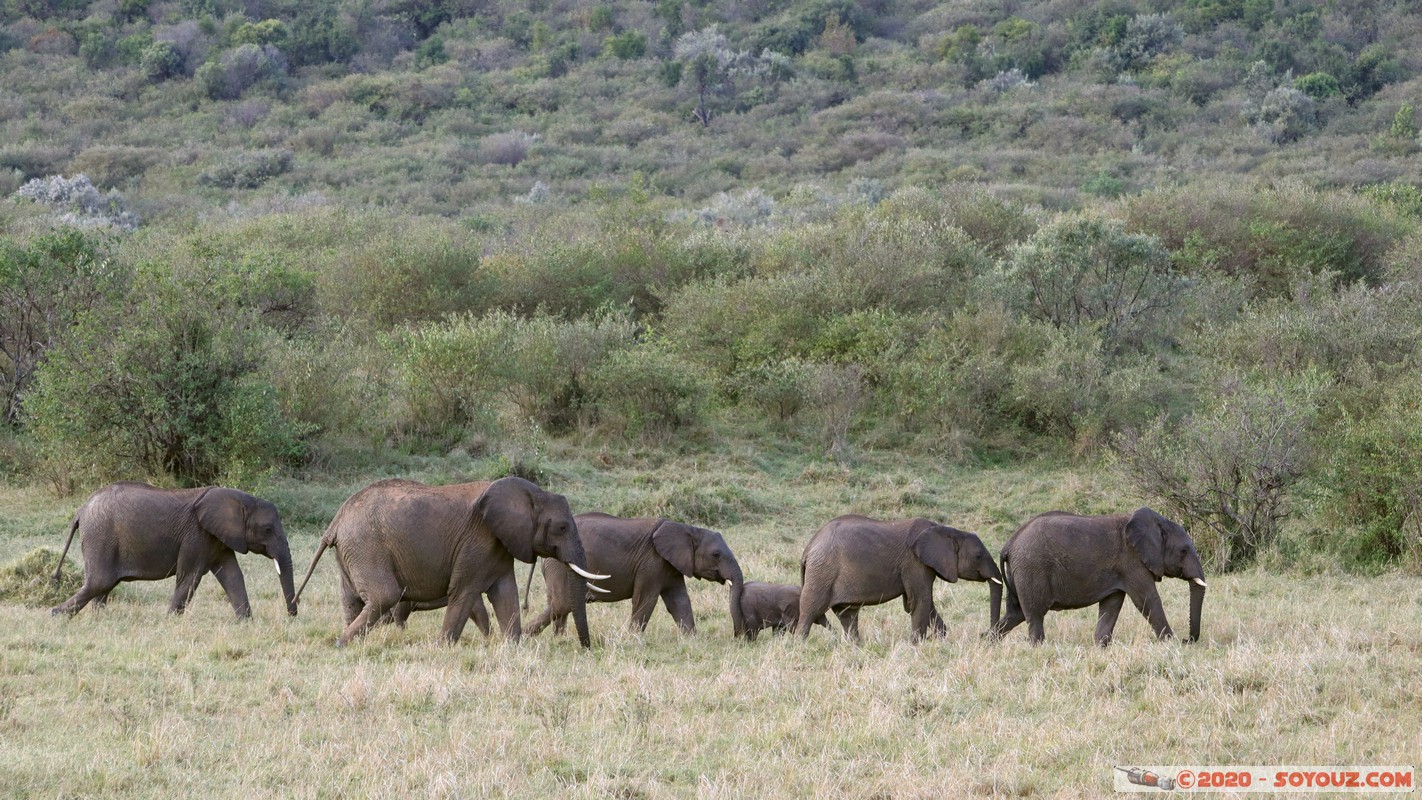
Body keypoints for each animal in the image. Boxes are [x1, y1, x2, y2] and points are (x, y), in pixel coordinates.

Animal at [51, 483, 297, 619]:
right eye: (267, 529)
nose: (291, 615)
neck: (237, 497)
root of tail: (81, 510)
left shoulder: (218, 538)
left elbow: (233, 576)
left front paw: (246, 622)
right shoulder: (196, 534)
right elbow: (190, 577)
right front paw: (170, 620)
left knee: (103, 586)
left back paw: (97, 617)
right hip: (100, 536)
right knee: (100, 581)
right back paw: (55, 615)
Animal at [297, 480, 608, 647]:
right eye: (562, 528)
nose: (586, 647)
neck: (527, 492)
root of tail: (336, 520)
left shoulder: (498, 544)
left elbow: (505, 593)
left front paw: (511, 646)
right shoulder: (478, 540)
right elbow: (465, 592)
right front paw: (442, 648)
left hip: (351, 550)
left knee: (351, 599)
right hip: (366, 546)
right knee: (385, 596)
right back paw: (342, 643)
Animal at [523, 514, 745, 639]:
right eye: (716, 555)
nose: (737, 636)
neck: (687, 529)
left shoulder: (670, 565)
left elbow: (679, 601)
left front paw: (692, 640)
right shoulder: (652, 562)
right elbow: (646, 600)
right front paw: (633, 640)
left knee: (557, 603)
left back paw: (558, 640)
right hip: (559, 565)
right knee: (562, 602)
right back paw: (525, 637)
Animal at [796, 517, 1006, 642]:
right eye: (978, 556)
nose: (985, 636)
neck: (947, 530)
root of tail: (809, 547)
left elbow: (924, 602)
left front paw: (939, 639)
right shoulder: (915, 563)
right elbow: (920, 600)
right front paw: (917, 644)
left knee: (847, 614)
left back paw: (856, 646)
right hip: (822, 572)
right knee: (811, 608)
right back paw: (800, 645)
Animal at [989, 511, 1211, 647]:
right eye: (1184, 551)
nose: (1186, 640)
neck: (1157, 522)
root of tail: (1009, 544)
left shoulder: (1120, 570)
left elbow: (1111, 605)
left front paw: (1100, 646)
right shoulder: (1132, 562)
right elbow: (1147, 600)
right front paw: (1170, 644)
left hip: (1020, 572)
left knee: (1016, 614)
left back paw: (988, 642)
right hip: (1032, 569)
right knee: (1034, 614)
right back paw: (1038, 648)